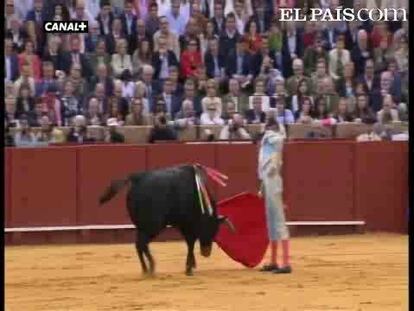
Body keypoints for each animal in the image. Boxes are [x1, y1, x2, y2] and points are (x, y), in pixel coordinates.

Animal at [100, 165, 234, 276]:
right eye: (209, 229)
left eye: (215, 231)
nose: (206, 253)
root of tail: (136, 178)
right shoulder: (187, 225)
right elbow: (190, 243)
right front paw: (189, 269)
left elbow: (189, 243)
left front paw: (192, 265)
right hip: (153, 226)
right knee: (142, 243)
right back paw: (151, 267)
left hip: (141, 226)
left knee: (138, 245)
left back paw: (145, 269)